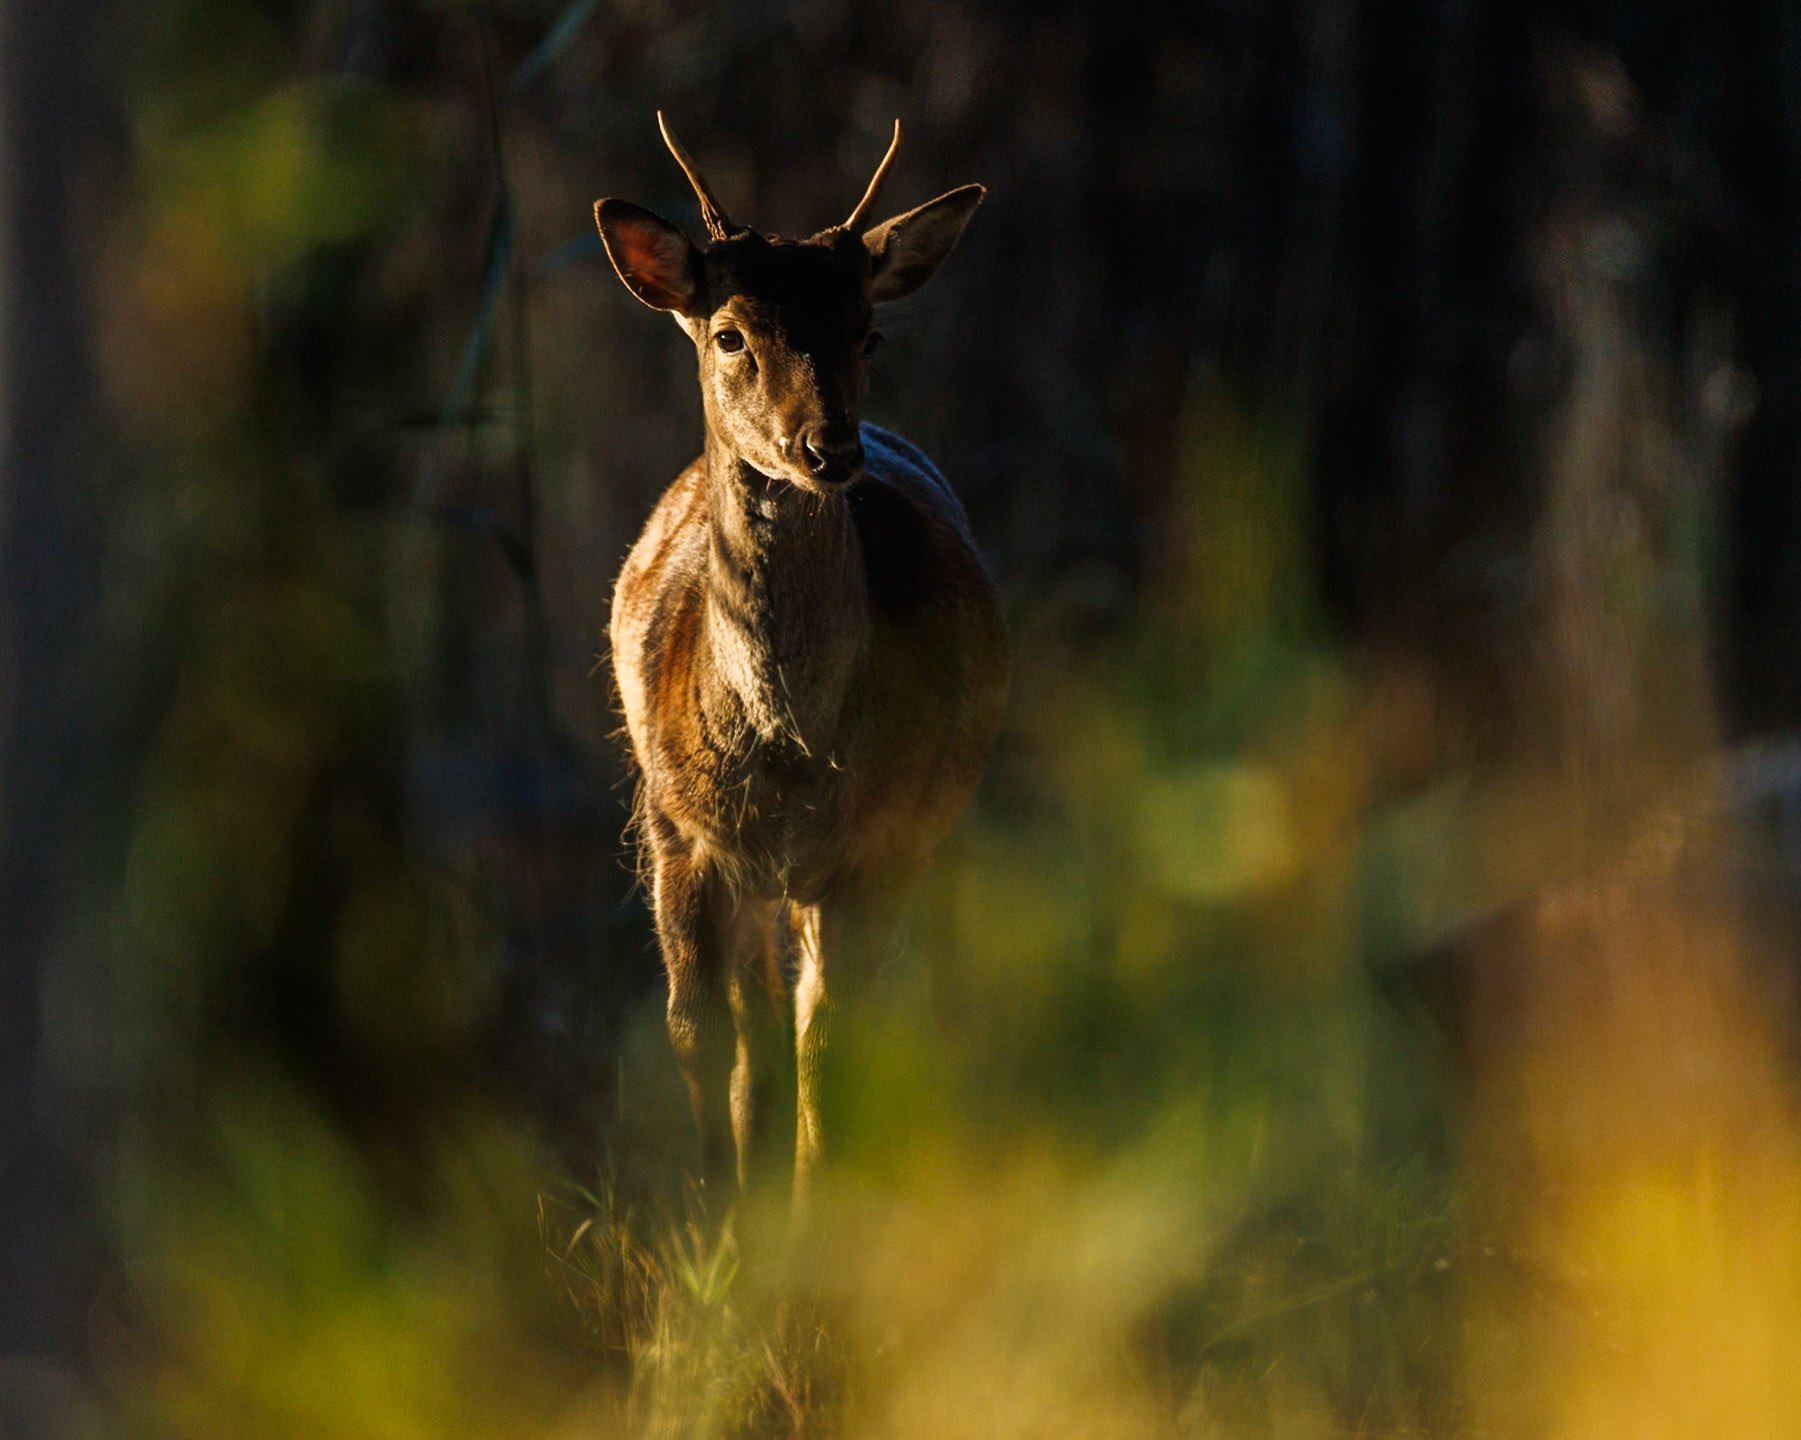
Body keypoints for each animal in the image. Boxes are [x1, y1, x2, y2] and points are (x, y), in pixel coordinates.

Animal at [594, 116, 1009, 1216]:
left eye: (869, 332)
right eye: (729, 333)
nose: (827, 449)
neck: (784, 750)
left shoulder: (873, 846)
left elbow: (831, 1047)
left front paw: (812, 1228)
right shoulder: (679, 832)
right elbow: (697, 1033)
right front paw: (711, 1233)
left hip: (919, 835)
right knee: (754, 1029)